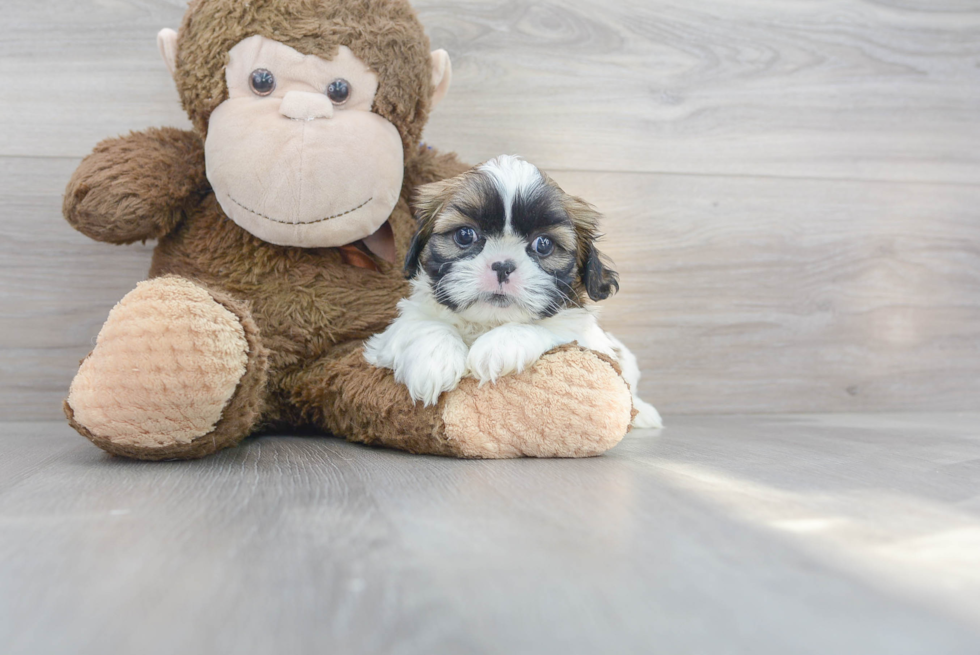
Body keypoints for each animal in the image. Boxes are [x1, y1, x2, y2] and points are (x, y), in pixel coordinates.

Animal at [364, 155, 664, 430]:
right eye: (465, 235)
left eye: (543, 244)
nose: (503, 266)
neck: (488, 323)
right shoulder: (391, 333)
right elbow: (422, 326)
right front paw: (434, 361)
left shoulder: (588, 340)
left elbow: (551, 329)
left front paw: (500, 346)